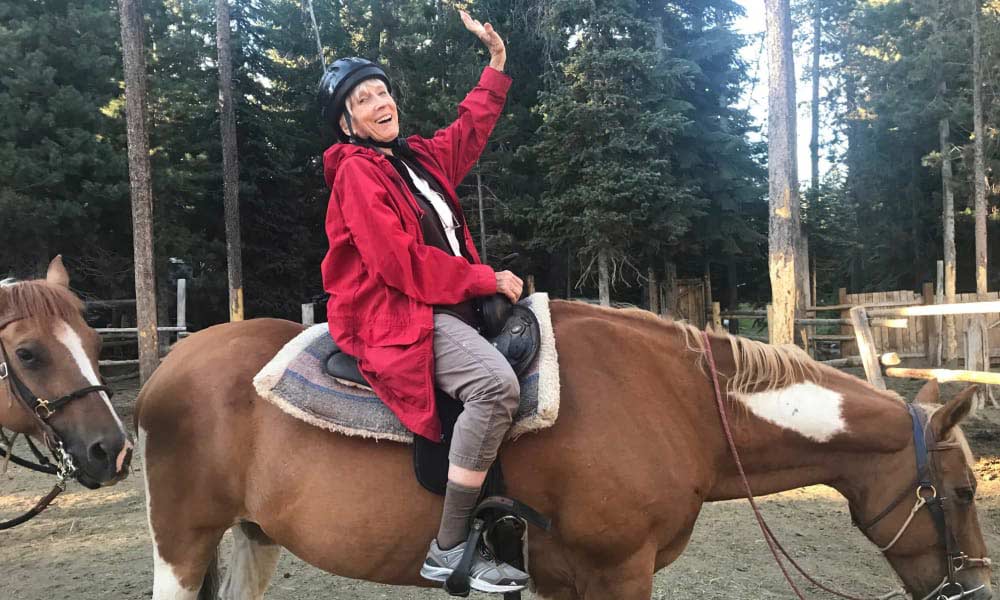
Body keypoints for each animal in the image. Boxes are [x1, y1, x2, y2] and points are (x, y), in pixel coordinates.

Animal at [139, 302, 992, 596]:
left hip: (253, 538)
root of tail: (164, 371)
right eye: (962, 493)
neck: (679, 406)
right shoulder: (621, 574)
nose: (976, 592)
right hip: (183, 543)